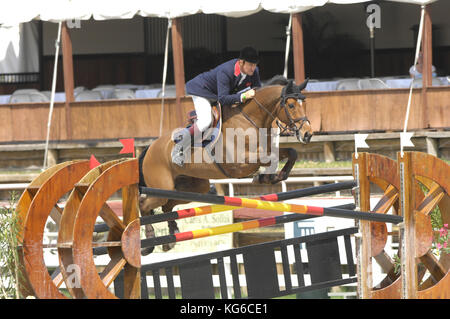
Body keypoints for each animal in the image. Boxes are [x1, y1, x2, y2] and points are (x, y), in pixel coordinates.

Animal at [139, 78, 312, 255]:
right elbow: (270, 158)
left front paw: (273, 177)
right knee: (143, 203)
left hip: (194, 187)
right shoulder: (239, 164)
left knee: (167, 205)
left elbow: (291, 153)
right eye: (291, 105)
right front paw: (263, 177)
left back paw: (171, 238)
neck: (249, 120)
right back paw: (148, 245)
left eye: (304, 103)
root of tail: (150, 148)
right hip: (162, 187)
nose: (307, 134)